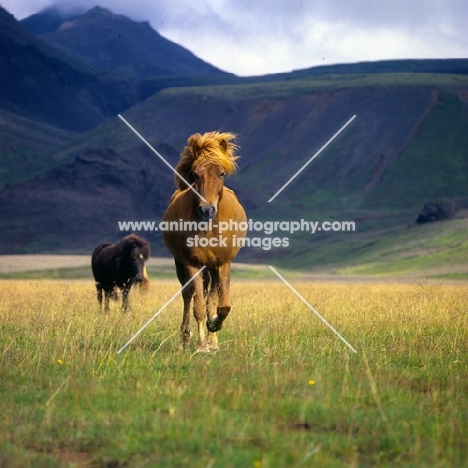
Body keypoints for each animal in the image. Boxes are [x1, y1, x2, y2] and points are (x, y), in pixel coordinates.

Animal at [163, 131, 247, 352]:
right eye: (195, 174)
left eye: (221, 173)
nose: (206, 210)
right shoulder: (192, 264)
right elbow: (198, 305)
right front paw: (201, 346)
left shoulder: (223, 263)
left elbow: (222, 305)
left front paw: (213, 326)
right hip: (182, 265)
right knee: (187, 295)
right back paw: (185, 339)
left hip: (212, 268)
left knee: (211, 297)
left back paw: (213, 341)